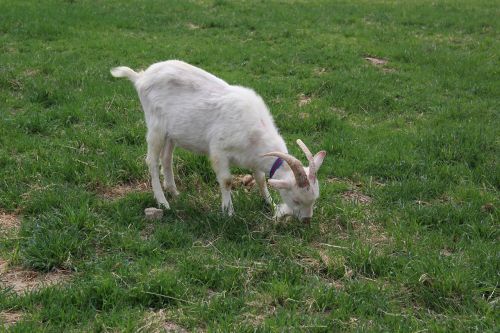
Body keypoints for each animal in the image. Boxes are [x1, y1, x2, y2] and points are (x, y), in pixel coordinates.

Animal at [111, 60, 326, 220]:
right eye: (296, 200)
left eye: (314, 199)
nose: (306, 220)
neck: (255, 129)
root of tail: (140, 77)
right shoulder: (219, 151)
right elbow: (227, 180)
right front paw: (228, 212)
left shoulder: (253, 157)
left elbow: (260, 179)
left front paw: (269, 203)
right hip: (156, 127)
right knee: (152, 161)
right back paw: (163, 202)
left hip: (172, 133)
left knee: (167, 159)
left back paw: (174, 192)